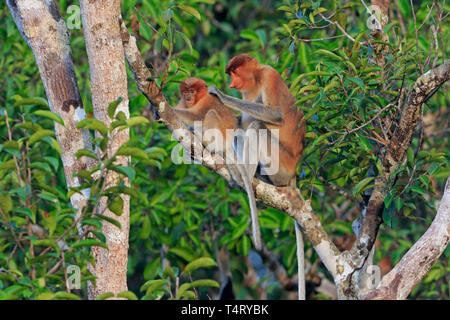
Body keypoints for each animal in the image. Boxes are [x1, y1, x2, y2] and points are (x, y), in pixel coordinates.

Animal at [172, 77, 264, 250]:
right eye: (185, 91)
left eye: (192, 91)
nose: (188, 97)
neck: (198, 99)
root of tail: (228, 145)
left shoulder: (205, 102)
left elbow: (197, 115)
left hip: (219, 136)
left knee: (210, 114)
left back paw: (205, 142)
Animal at [209, 55, 308, 300]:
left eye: (234, 72)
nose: (231, 83)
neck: (254, 79)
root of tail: (293, 172)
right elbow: (240, 123)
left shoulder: (269, 77)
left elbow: (274, 114)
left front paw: (220, 95)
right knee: (242, 131)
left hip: (280, 164)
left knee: (257, 126)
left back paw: (244, 175)